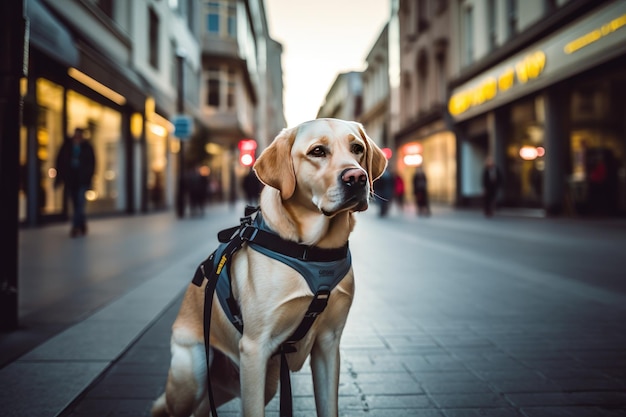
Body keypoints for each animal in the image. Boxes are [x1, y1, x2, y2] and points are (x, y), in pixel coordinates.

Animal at [151, 118, 386, 416]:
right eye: (317, 151)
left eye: (357, 148)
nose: (357, 177)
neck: (312, 250)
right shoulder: (255, 349)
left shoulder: (328, 344)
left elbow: (328, 405)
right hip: (191, 376)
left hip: (254, 384)